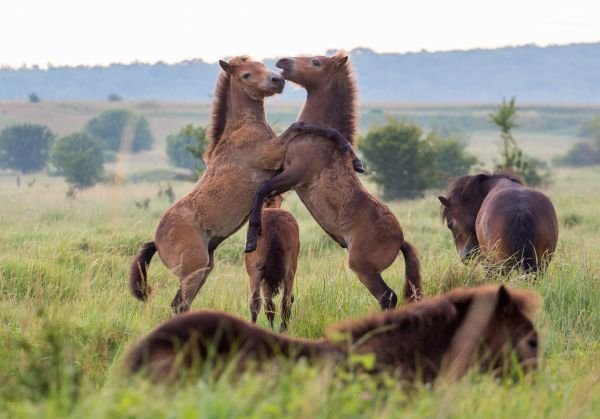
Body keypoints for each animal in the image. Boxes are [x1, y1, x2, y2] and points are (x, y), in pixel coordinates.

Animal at [244, 51, 422, 308]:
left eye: (316, 62)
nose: (283, 62)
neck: (318, 137)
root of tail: (400, 241)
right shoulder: (283, 172)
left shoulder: (294, 175)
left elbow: (262, 189)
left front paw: (251, 240)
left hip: (363, 269)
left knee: (388, 297)